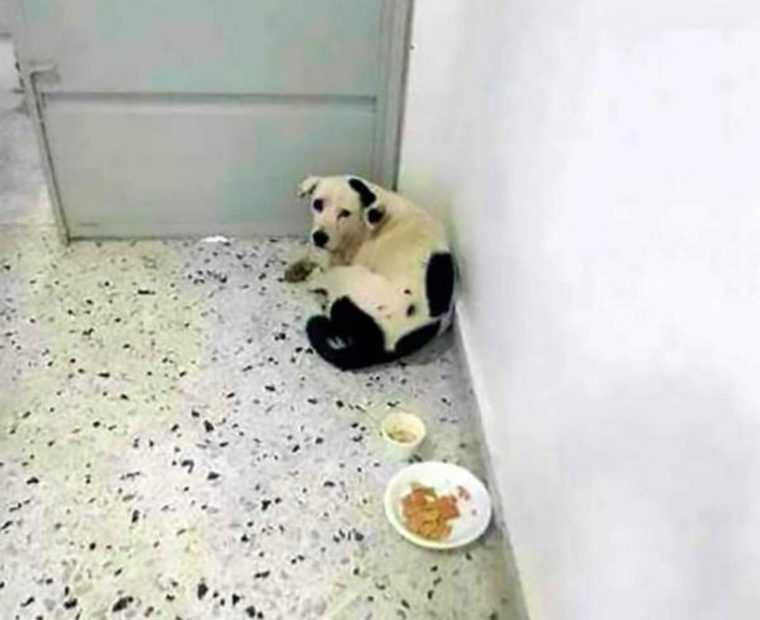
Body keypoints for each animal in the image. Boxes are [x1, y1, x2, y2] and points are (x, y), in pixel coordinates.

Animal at [288, 174, 454, 368]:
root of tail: (382, 345)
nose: (319, 237)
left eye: (345, 213)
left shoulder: (342, 259)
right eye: (318, 204)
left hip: (349, 275)